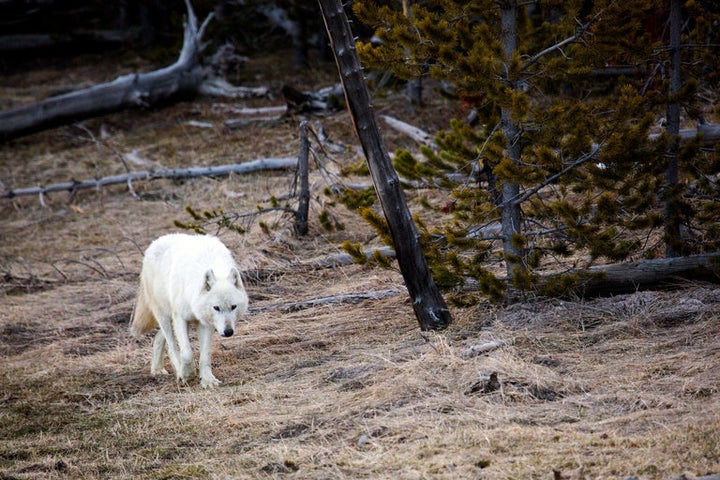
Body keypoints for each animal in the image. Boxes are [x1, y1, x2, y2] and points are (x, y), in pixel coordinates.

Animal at [131, 234, 249, 388]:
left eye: (233, 307)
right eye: (216, 308)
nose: (228, 332)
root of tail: (156, 242)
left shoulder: (205, 323)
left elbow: (205, 356)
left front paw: (208, 380)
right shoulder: (180, 318)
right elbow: (187, 353)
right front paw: (187, 374)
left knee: (158, 337)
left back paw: (157, 369)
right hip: (164, 316)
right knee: (172, 346)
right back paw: (178, 372)